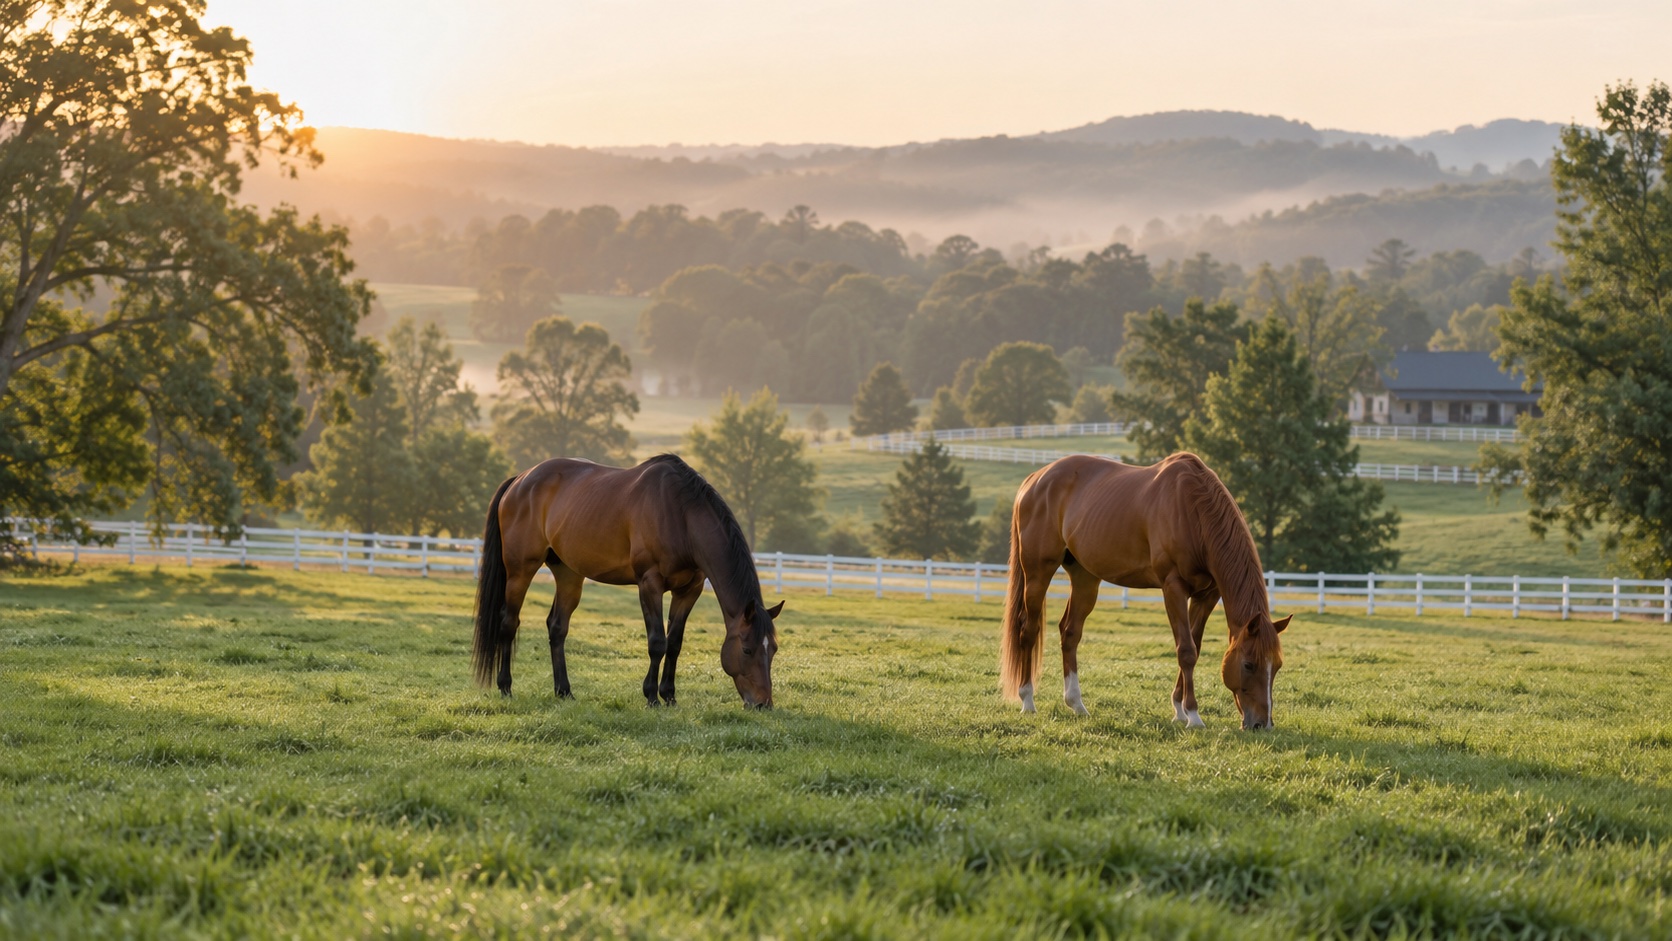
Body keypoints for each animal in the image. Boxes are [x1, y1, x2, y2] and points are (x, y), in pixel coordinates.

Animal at [472, 454, 783, 708]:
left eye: (774, 649)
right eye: (747, 649)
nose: (763, 704)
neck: (680, 515)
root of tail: (520, 480)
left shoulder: (689, 590)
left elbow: (675, 643)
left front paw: (669, 696)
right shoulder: (649, 584)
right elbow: (657, 641)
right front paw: (651, 696)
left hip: (569, 573)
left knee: (557, 628)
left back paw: (564, 691)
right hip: (520, 571)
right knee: (508, 623)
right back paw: (505, 687)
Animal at [1001, 452, 1292, 729]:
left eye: (1277, 666)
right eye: (1248, 664)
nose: (1262, 724)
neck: (1192, 510)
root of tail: (1035, 480)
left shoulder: (1207, 595)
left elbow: (1195, 646)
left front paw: (1178, 709)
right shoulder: (1173, 587)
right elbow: (1186, 650)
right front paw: (1193, 715)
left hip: (1085, 578)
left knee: (1070, 632)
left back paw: (1077, 704)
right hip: (1038, 572)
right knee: (1029, 629)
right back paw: (1027, 700)